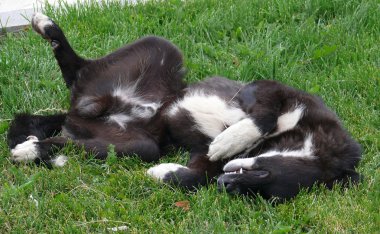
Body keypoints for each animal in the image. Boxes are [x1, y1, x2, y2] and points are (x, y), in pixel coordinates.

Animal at [7, 12, 186, 166]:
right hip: (159, 46)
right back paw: (47, 25)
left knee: (72, 142)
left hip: (137, 144)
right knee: (78, 68)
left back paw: (31, 150)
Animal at [146, 76, 362, 199]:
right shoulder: (268, 88)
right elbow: (266, 116)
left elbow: (196, 176)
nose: (224, 185)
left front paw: (161, 173)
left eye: (266, 196)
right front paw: (229, 140)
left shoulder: (205, 155)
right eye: (263, 175)